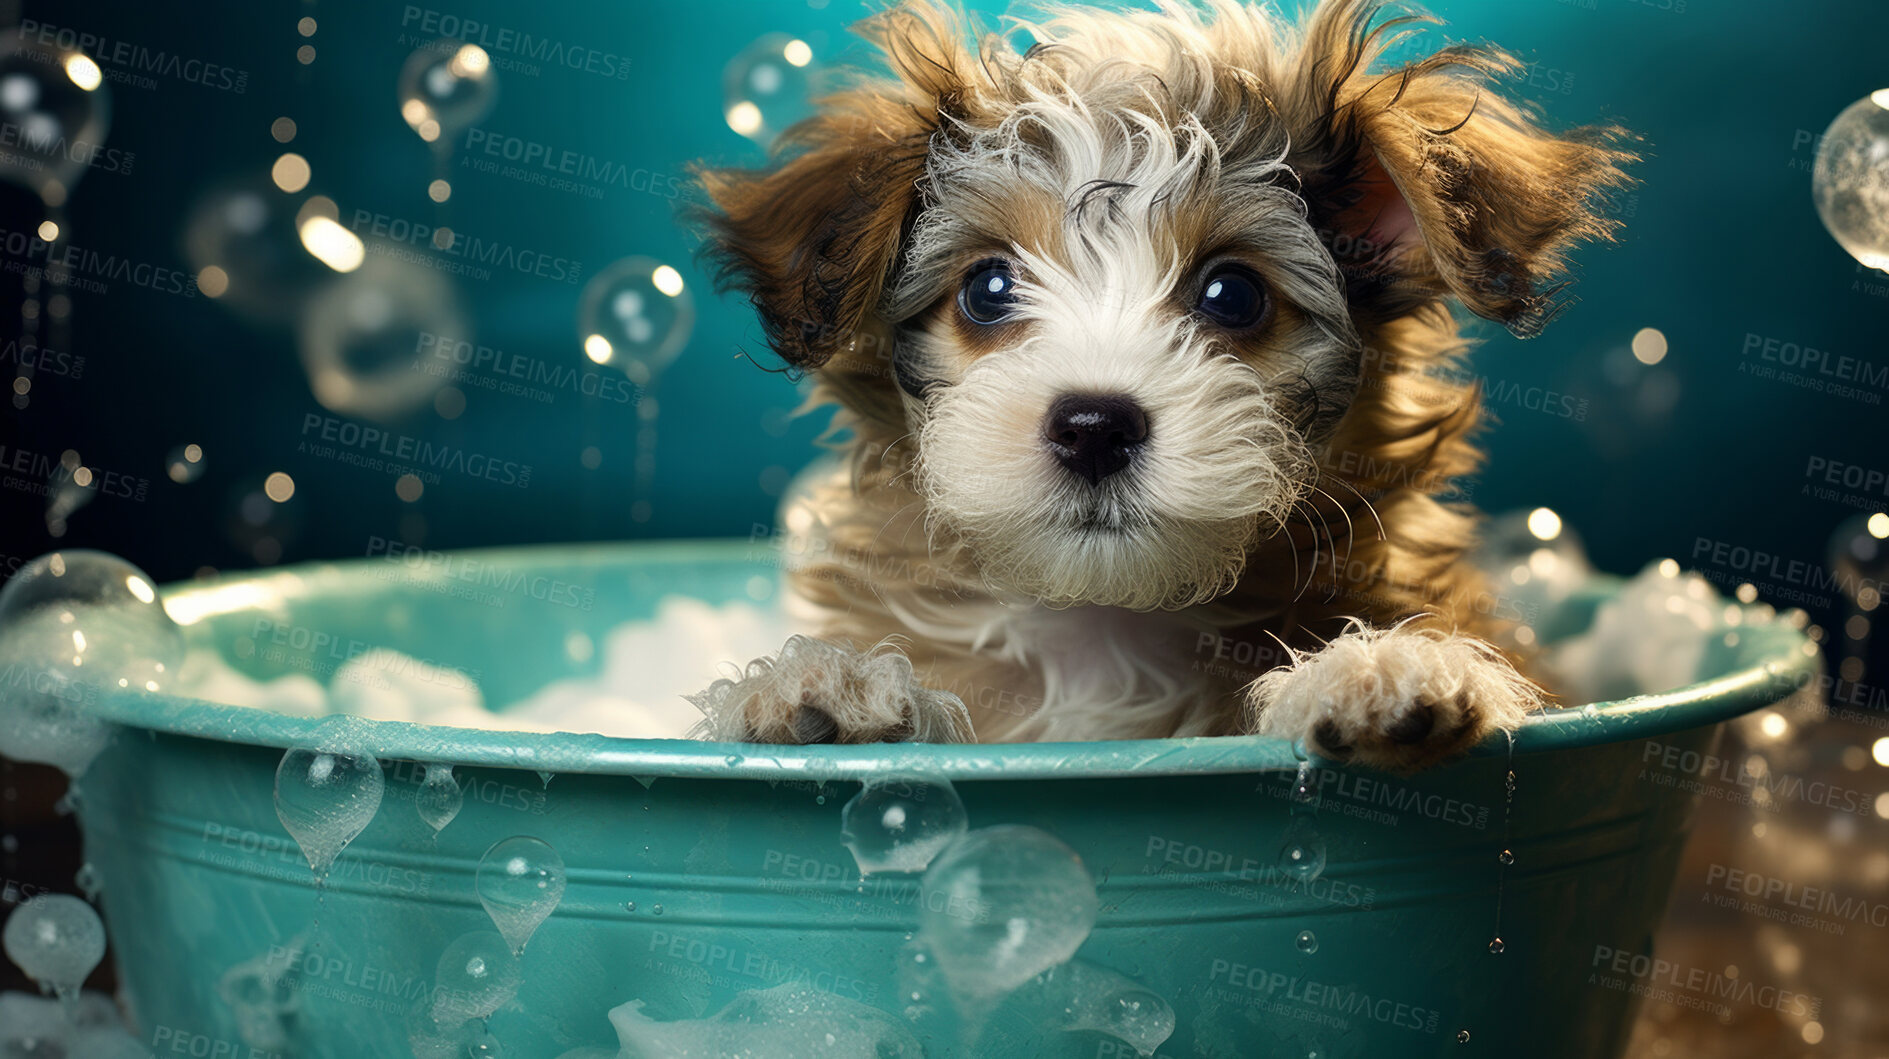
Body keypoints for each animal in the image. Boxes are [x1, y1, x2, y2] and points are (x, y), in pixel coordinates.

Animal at [687, 0, 1632, 766]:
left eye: (1232, 295)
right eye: (987, 288)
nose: (1093, 426)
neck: (1107, 622)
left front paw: (1379, 666)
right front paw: (835, 692)